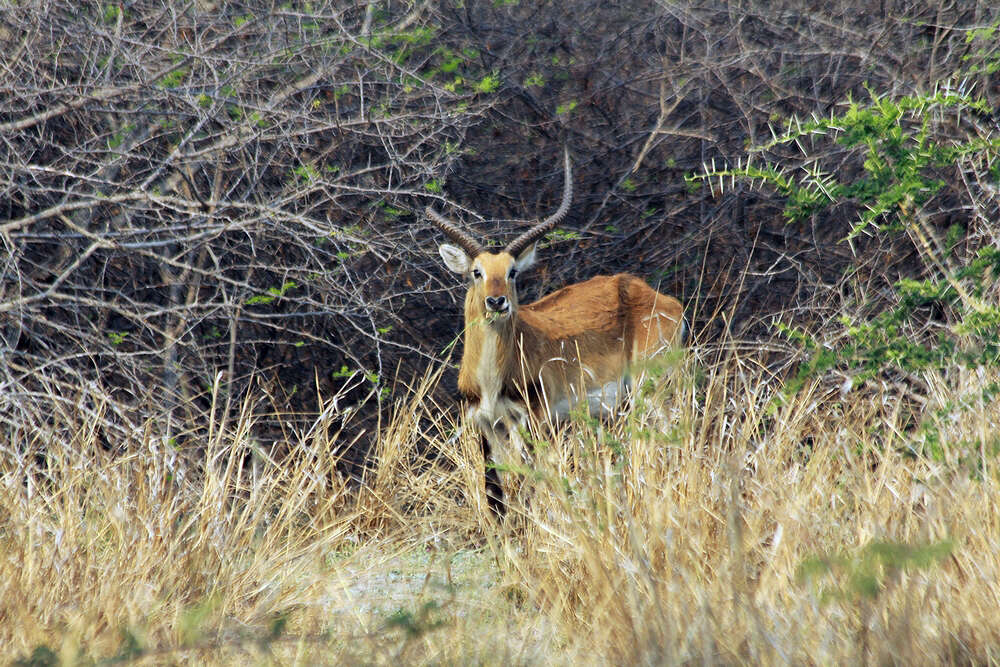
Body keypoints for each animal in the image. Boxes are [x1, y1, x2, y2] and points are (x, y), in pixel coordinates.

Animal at [426, 149, 684, 520]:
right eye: (477, 272)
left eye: (512, 272)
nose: (497, 301)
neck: (491, 379)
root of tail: (654, 296)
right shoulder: (487, 424)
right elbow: (496, 495)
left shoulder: (533, 421)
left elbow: (530, 485)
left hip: (652, 390)